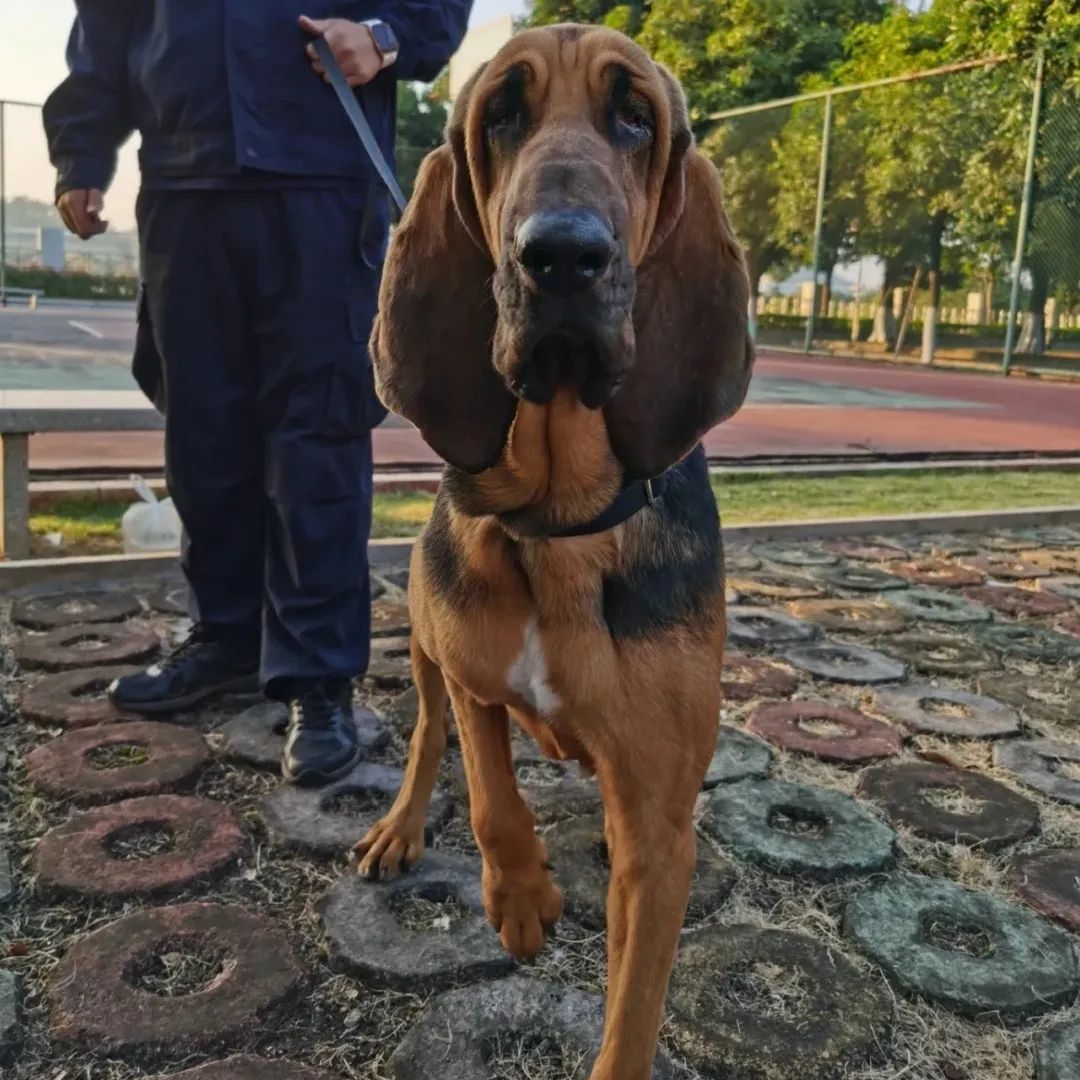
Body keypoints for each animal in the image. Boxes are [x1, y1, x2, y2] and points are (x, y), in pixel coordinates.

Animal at [354, 19, 751, 1080]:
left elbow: (633, 1016)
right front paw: (523, 899)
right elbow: (489, 787)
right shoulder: (468, 669)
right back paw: (401, 828)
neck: (559, 517)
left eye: (635, 116)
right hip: (418, 635)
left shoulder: (658, 828)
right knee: (427, 733)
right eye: (500, 113)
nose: (562, 256)